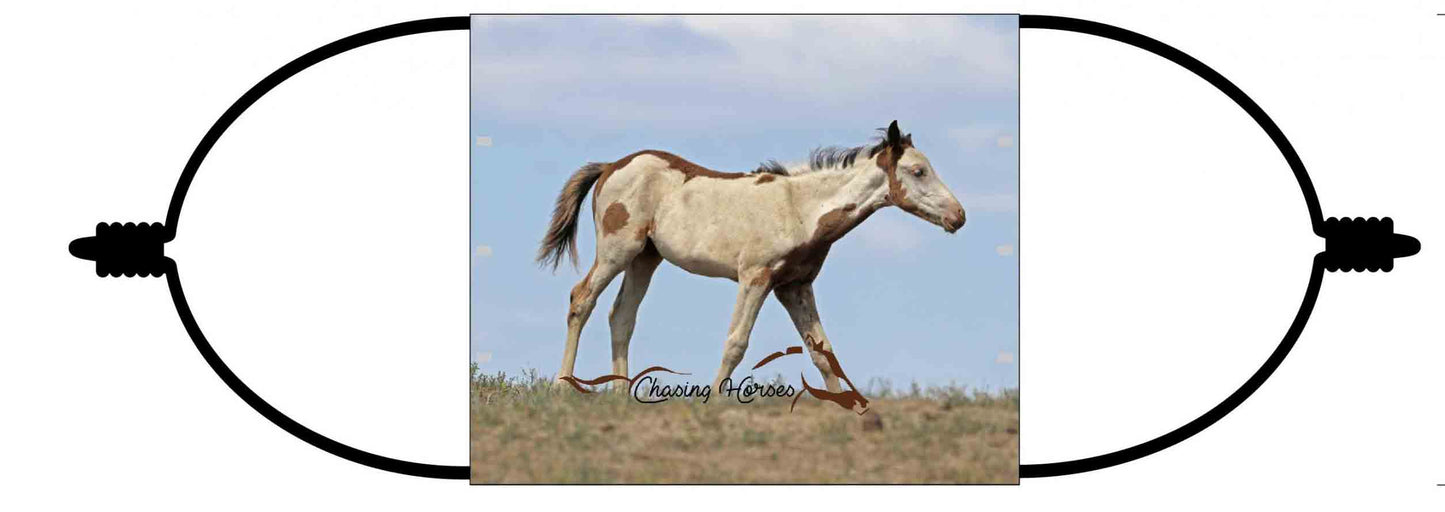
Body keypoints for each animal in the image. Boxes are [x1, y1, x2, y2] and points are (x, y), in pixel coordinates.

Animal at [537, 122, 965, 393]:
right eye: (918, 170)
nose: (958, 216)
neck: (800, 209)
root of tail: (611, 166)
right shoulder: (755, 278)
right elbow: (736, 343)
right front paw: (712, 401)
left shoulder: (795, 286)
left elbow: (822, 352)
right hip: (617, 251)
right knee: (582, 300)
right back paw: (562, 388)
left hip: (646, 258)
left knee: (622, 316)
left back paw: (622, 396)